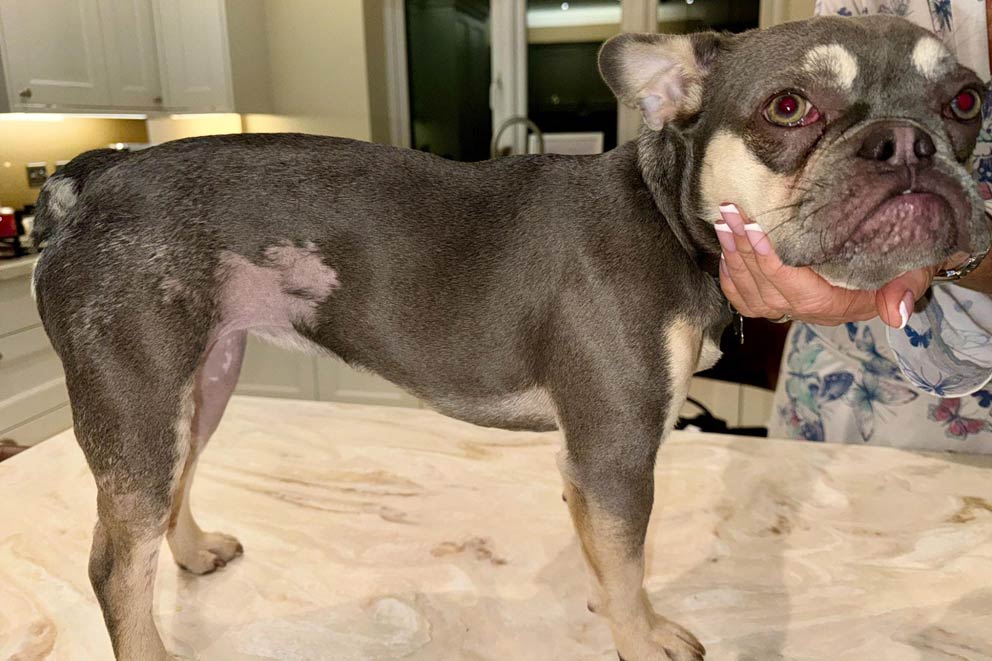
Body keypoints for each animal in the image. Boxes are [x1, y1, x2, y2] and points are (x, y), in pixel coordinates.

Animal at [29, 15, 984, 660]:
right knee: (115, 562)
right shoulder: (616, 450)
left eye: (968, 100)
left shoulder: (593, 461)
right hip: (138, 400)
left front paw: (615, 608)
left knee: (169, 495)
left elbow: (609, 555)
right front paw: (643, 636)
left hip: (196, 386)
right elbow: (629, 562)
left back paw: (194, 553)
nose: (908, 143)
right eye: (790, 107)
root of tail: (95, 175)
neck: (666, 215)